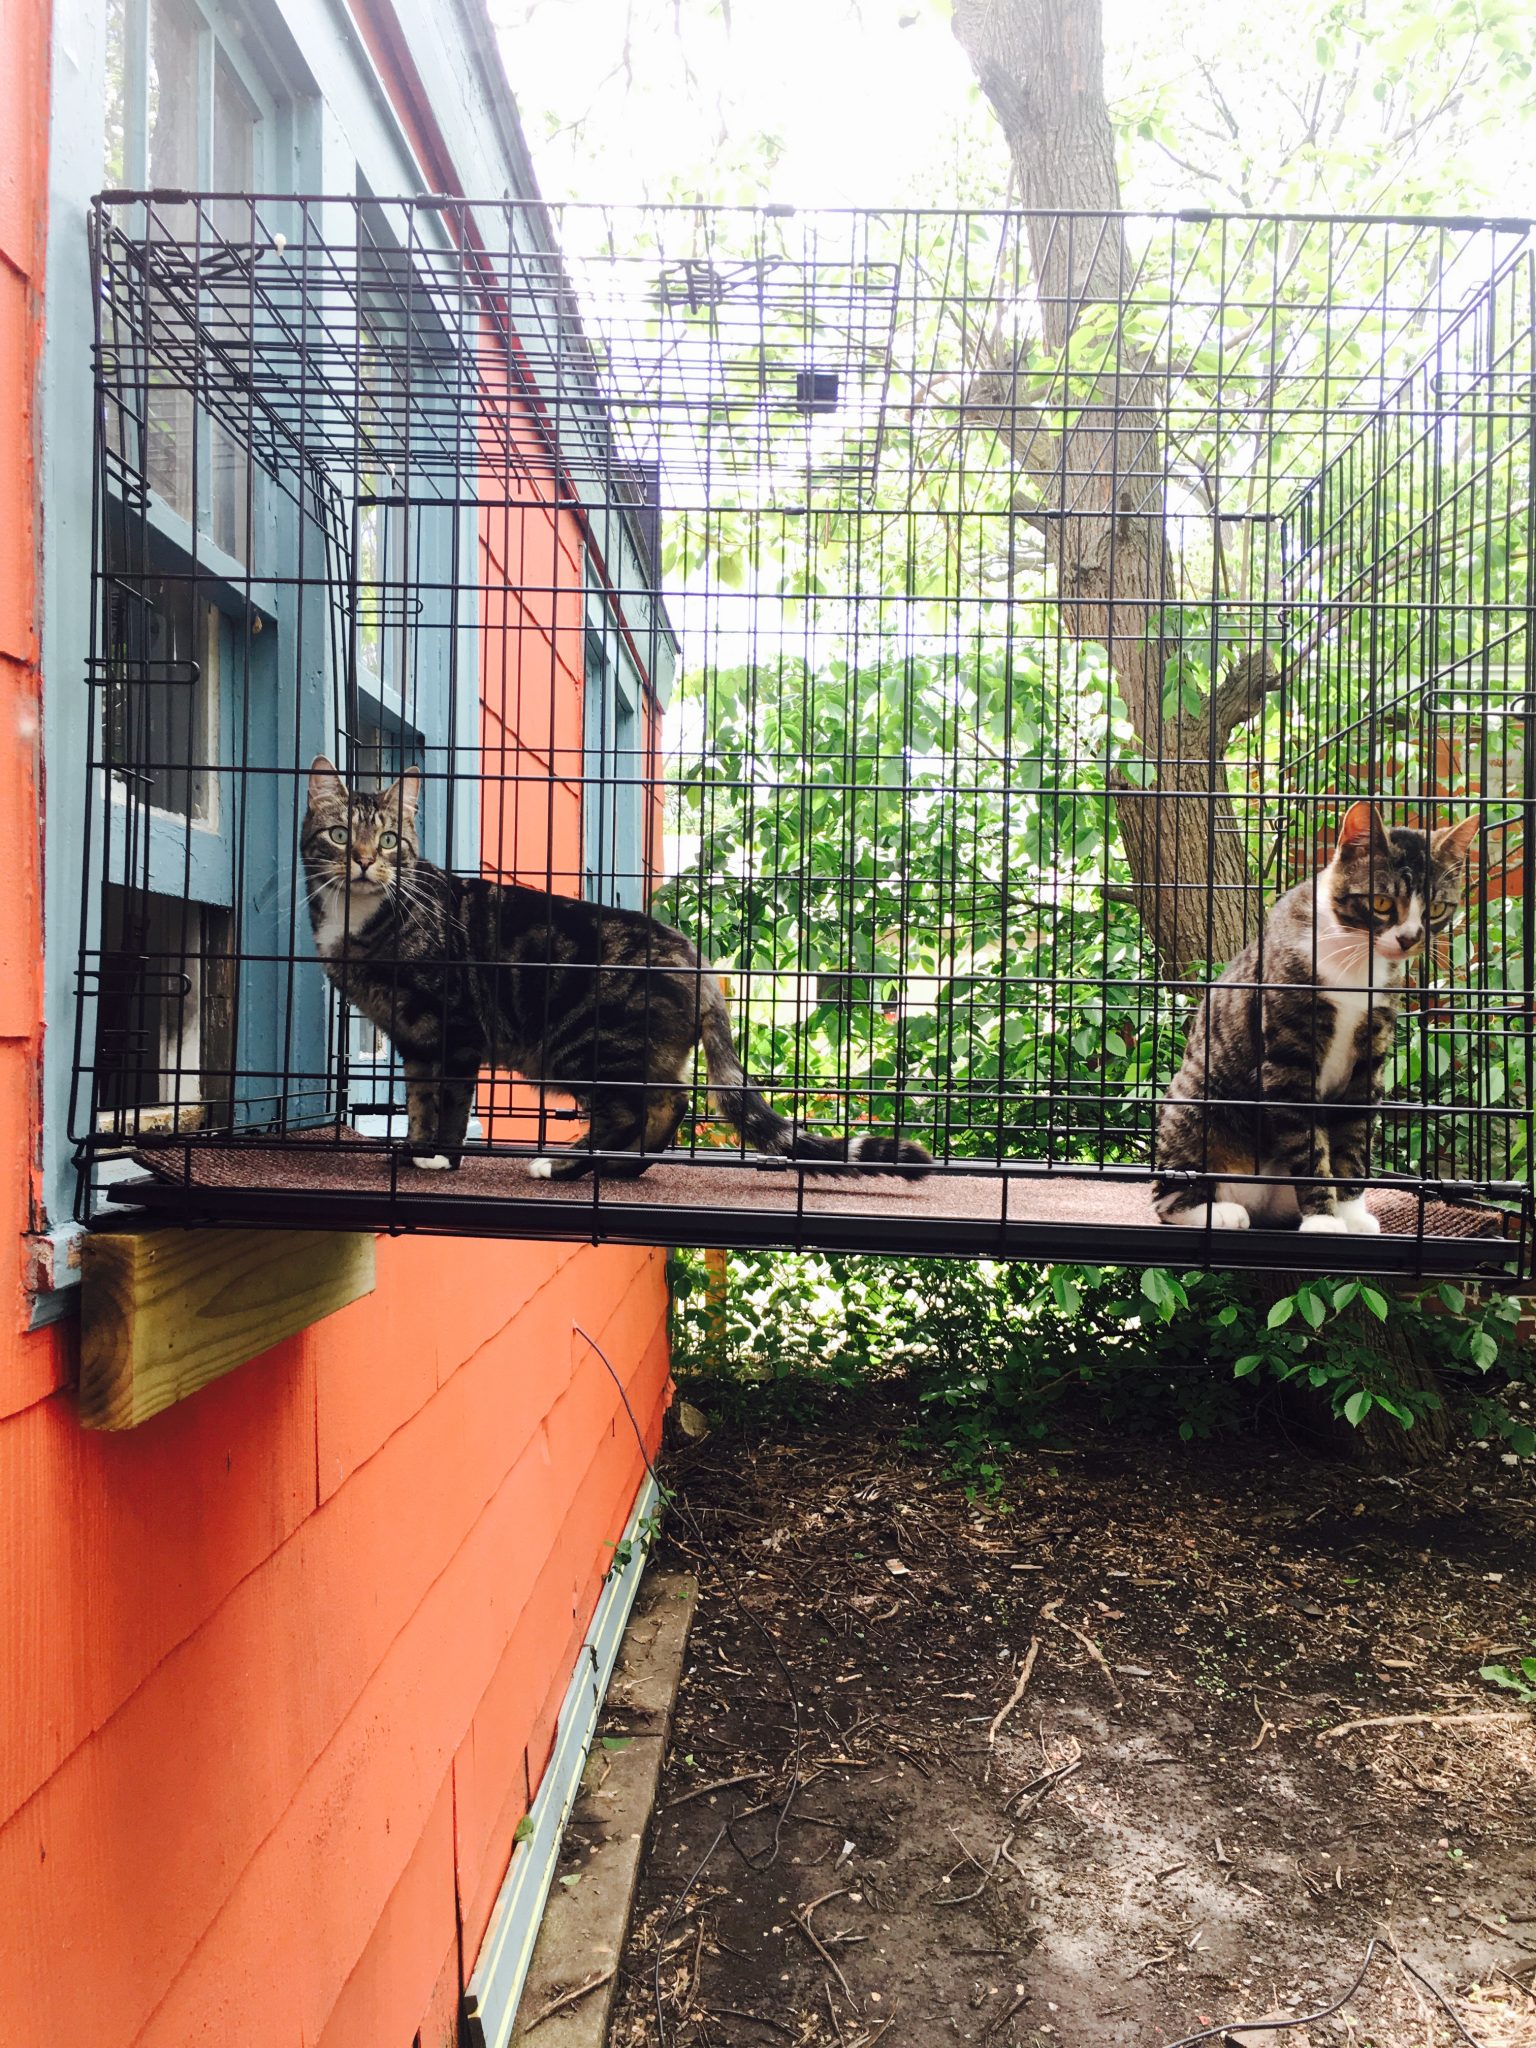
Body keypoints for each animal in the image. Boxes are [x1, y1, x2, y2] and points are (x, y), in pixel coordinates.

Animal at [296, 765, 933, 1187]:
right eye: (339, 835)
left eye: (389, 840)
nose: (363, 861)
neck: (362, 917)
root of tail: (697, 963)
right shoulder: (415, 1038)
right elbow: (420, 1099)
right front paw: (413, 1149)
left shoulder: (452, 1028)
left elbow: (448, 1104)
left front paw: (438, 1159)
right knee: (670, 1100)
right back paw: (623, 1168)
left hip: (583, 1045)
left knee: (642, 1106)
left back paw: (567, 1164)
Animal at [1155, 802, 1482, 1228]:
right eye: (1381, 903)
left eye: (1438, 908)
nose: (1409, 939)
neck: (1355, 964)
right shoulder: (1288, 1058)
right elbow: (1309, 1146)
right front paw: (1324, 1220)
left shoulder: (1369, 1059)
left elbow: (1353, 1141)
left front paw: (1351, 1214)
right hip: (1194, 1104)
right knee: (1169, 1191)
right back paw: (1215, 1211)